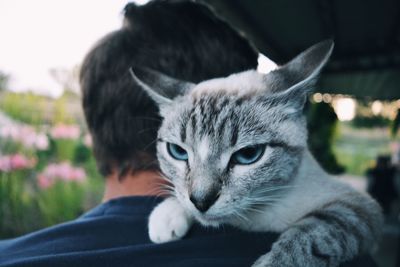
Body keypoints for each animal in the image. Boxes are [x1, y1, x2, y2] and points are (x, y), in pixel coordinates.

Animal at [130, 40, 382, 267]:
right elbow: (180, 196)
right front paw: (168, 215)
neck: (251, 219)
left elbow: (309, 235)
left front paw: (274, 262)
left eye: (248, 154)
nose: (201, 201)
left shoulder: (357, 206)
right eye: (178, 152)